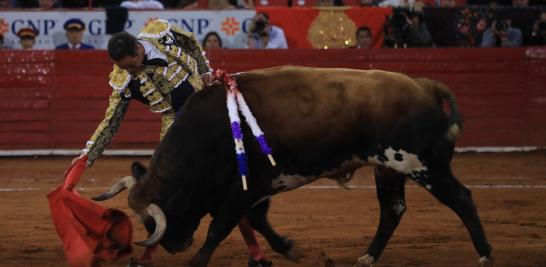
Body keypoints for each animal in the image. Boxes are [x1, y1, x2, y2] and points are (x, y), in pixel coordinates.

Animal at [94, 66, 492, 267]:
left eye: (158, 219)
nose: (175, 245)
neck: (213, 131)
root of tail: (425, 87)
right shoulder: (257, 188)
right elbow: (257, 221)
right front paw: (288, 248)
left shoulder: (247, 187)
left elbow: (220, 226)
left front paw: (196, 263)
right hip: (389, 168)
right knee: (393, 209)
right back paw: (368, 256)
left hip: (423, 165)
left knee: (461, 199)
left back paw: (485, 254)